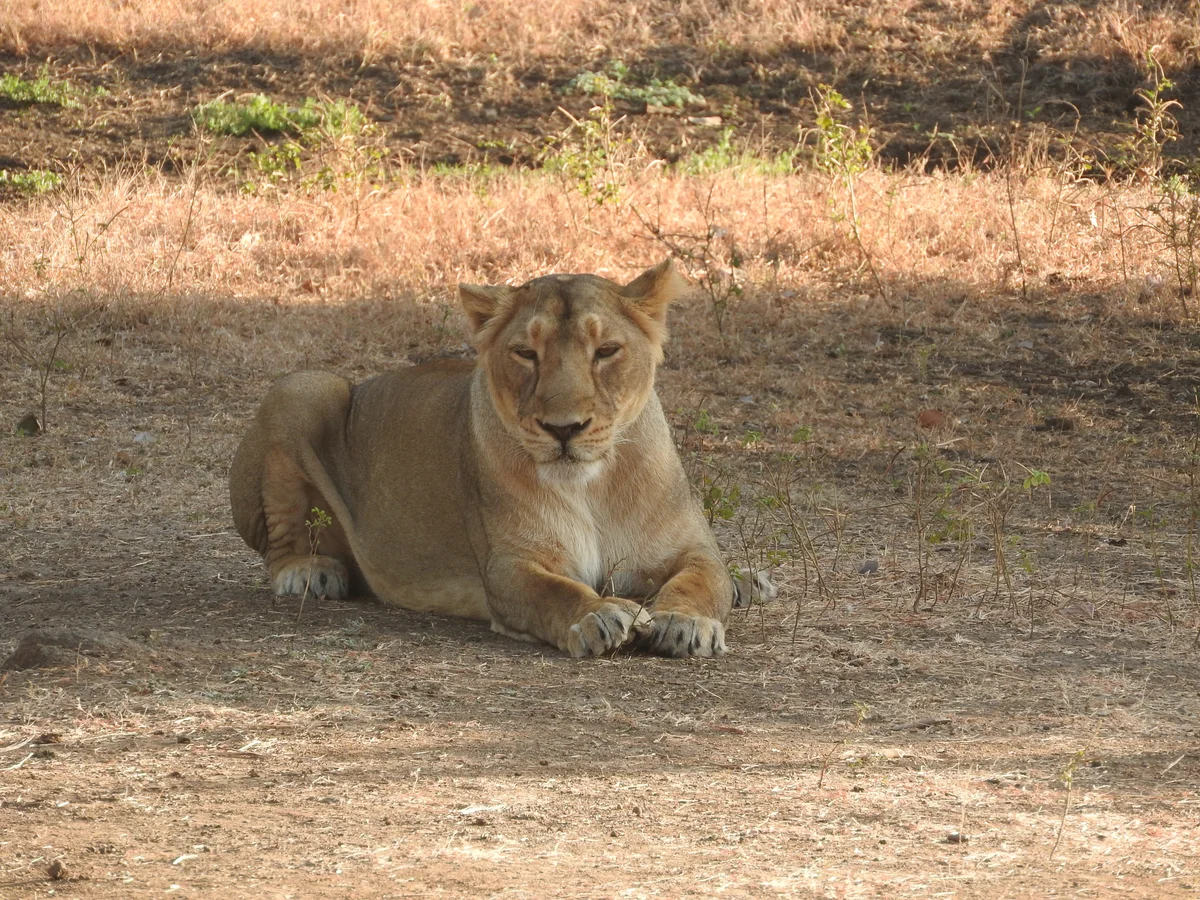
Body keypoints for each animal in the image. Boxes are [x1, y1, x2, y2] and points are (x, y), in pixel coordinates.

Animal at [229, 260, 773, 657]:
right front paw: (599, 615)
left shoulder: (693, 549)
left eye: (607, 351)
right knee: (280, 542)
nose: (564, 429)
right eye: (526, 354)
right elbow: (555, 593)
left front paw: (685, 622)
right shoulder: (509, 566)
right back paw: (309, 571)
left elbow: (704, 580)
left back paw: (748, 584)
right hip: (305, 387)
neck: (592, 486)